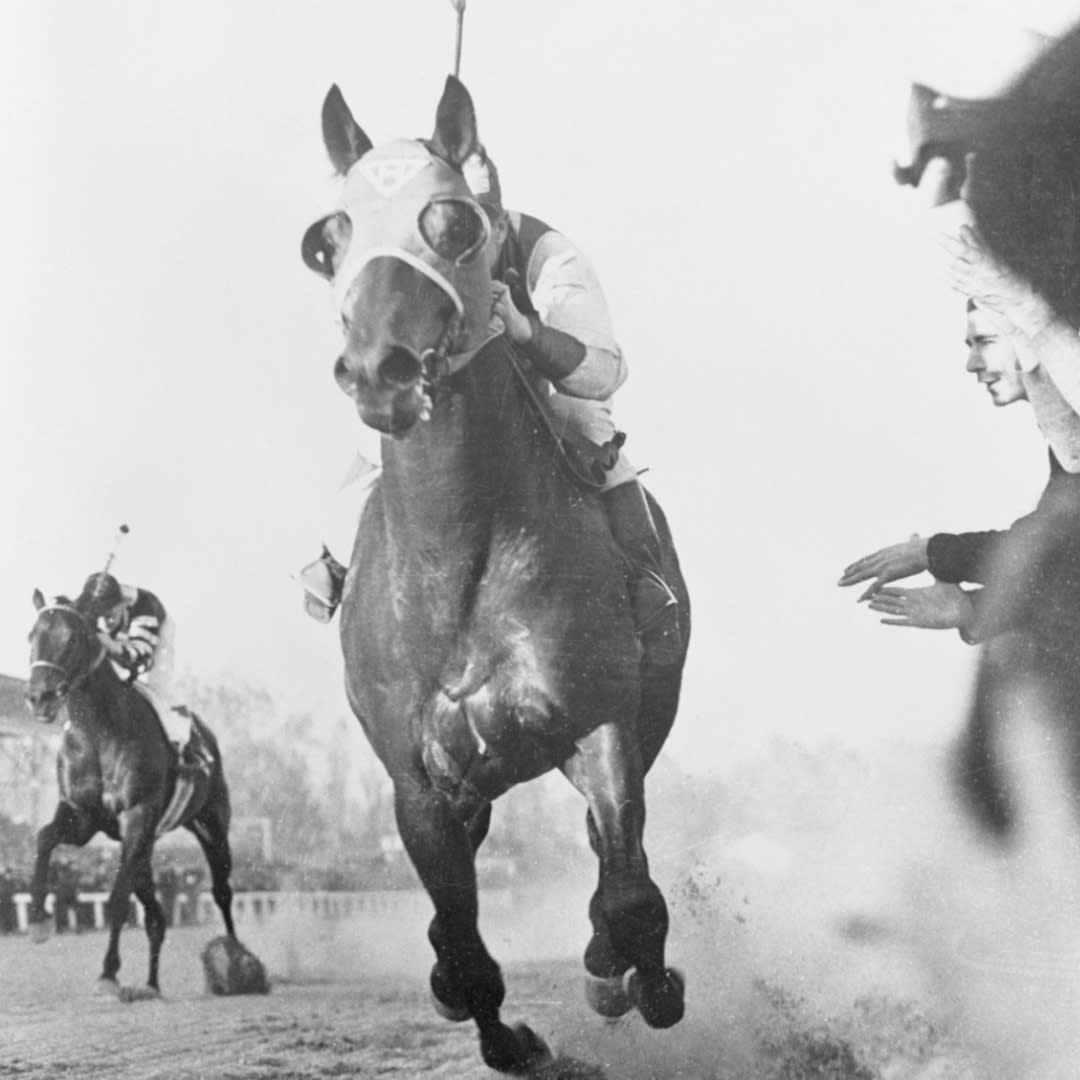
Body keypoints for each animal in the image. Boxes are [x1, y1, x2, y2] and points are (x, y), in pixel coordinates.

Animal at [23, 596, 238, 997]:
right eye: (32, 635)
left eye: (72, 638)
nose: (38, 697)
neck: (97, 732)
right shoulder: (82, 817)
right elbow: (44, 839)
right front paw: (39, 922)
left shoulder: (137, 814)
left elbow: (118, 898)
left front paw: (108, 972)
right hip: (146, 843)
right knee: (155, 912)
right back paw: (152, 984)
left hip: (211, 824)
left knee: (222, 892)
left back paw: (236, 962)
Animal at [304, 78, 691, 1071]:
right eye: (331, 237)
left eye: (453, 224)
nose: (380, 368)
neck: (461, 560)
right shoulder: (418, 779)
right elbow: (467, 944)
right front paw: (501, 1028)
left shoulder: (600, 720)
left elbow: (630, 893)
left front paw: (632, 978)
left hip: (650, 709)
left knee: (609, 852)